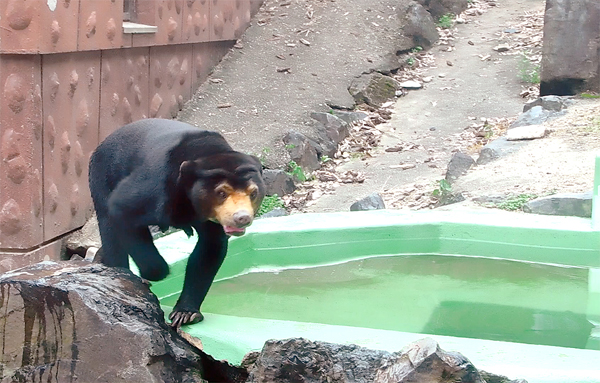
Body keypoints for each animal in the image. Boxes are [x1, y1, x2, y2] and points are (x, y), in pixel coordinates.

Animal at [88, 119, 264, 328]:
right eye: (221, 193)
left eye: (253, 193)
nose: (242, 218)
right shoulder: (158, 187)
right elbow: (121, 208)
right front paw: (151, 274)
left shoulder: (211, 219)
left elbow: (209, 250)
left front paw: (185, 313)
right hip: (102, 175)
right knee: (109, 228)